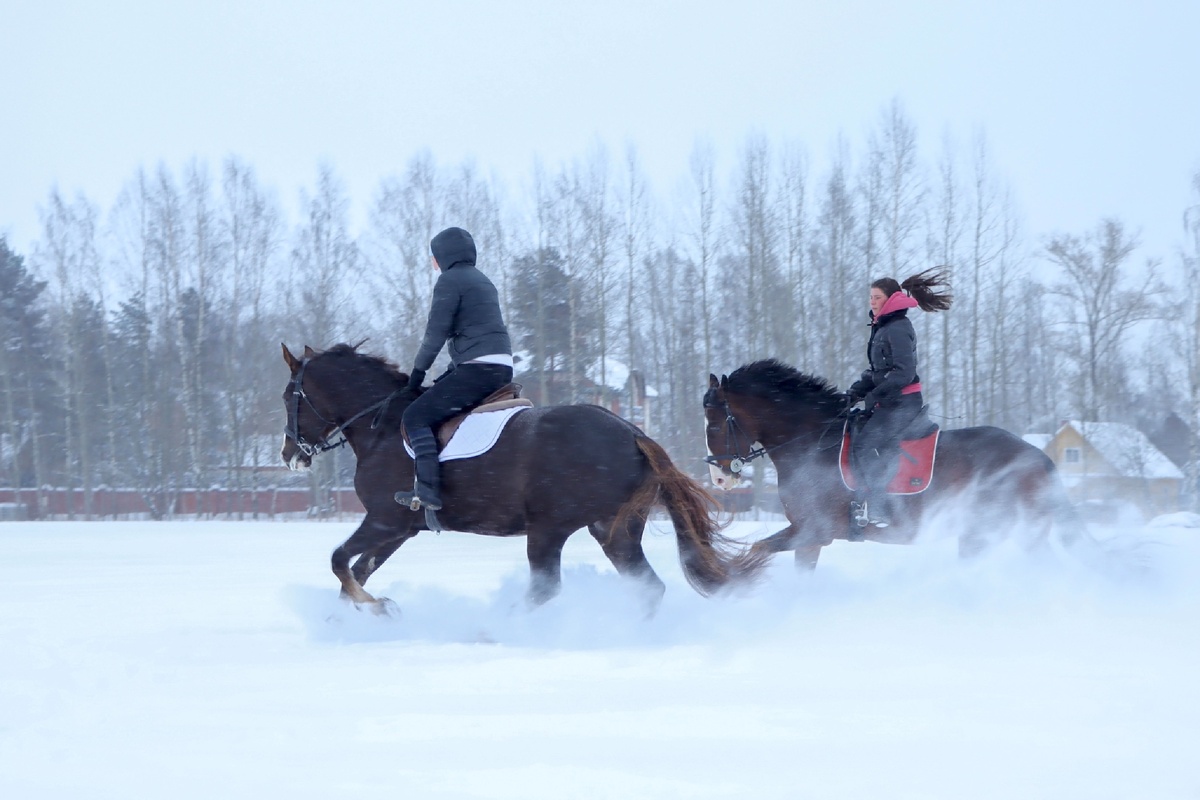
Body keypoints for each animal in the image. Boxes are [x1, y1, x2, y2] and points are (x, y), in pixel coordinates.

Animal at [285, 343, 763, 614]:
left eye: (291, 395)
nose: (290, 456)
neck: (382, 427)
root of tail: (633, 432)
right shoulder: (401, 529)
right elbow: (357, 571)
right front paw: (349, 619)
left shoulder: (384, 520)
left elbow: (340, 562)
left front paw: (378, 609)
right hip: (613, 530)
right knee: (648, 587)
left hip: (549, 528)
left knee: (545, 590)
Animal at [700, 359, 1089, 573]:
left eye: (714, 425)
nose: (719, 478)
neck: (809, 443)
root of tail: (1038, 457)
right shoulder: (808, 537)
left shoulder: (813, 532)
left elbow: (758, 550)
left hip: (992, 531)